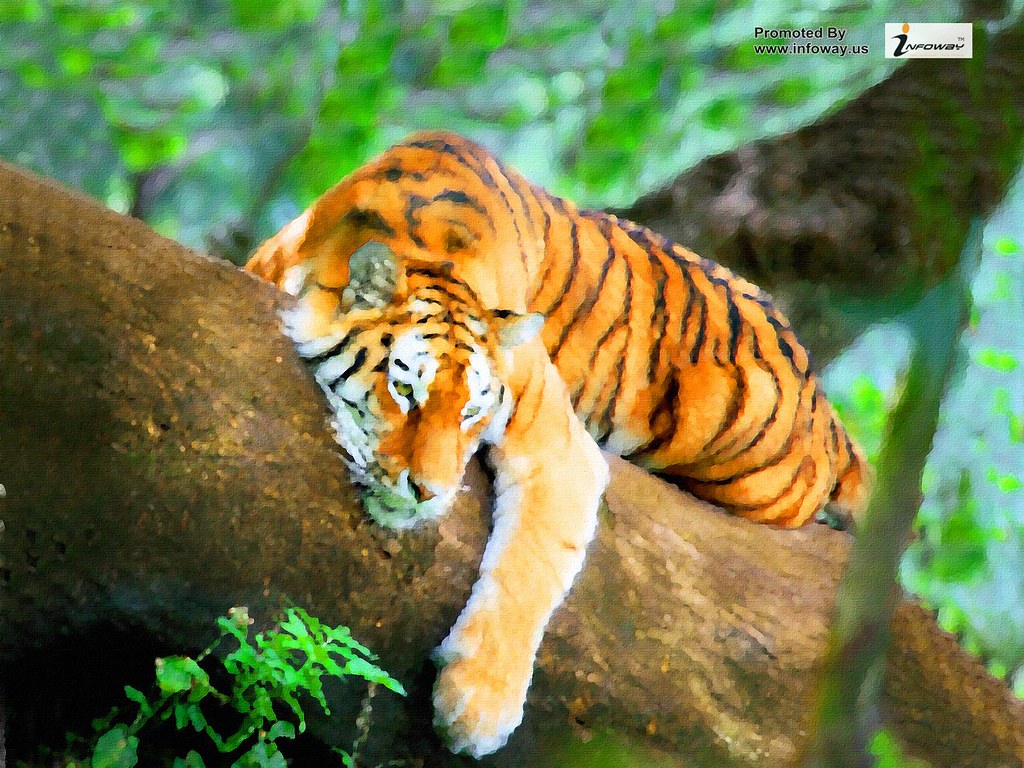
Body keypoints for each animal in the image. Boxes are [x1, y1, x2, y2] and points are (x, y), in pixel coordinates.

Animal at [246, 131, 870, 755]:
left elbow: (532, 566)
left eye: (471, 410)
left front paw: (477, 709)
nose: (428, 493)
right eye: (404, 390)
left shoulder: (558, 443)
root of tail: (824, 404)